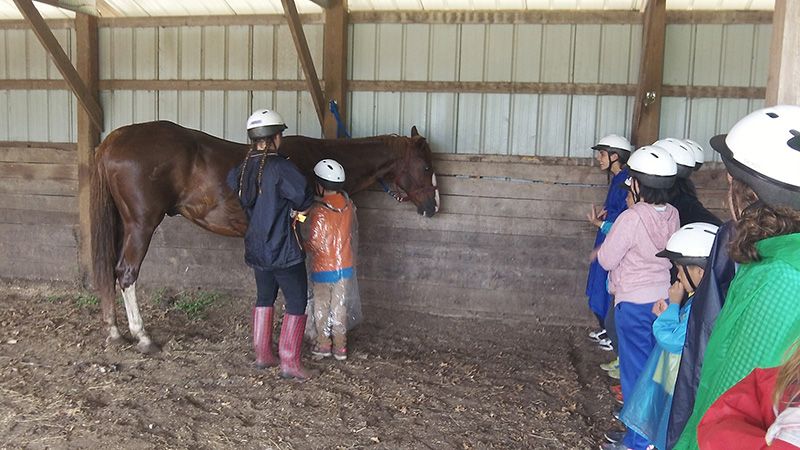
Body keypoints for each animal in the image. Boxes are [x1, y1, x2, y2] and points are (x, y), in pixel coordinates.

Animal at [95, 121, 444, 354]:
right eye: (426, 167)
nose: (433, 207)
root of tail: (113, 140)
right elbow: (308, 287)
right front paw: (312, 333)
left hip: (123, 225)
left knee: (111, 272)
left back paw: (114, 330)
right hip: (141, 225)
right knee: (126, 274)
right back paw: (142, 337)